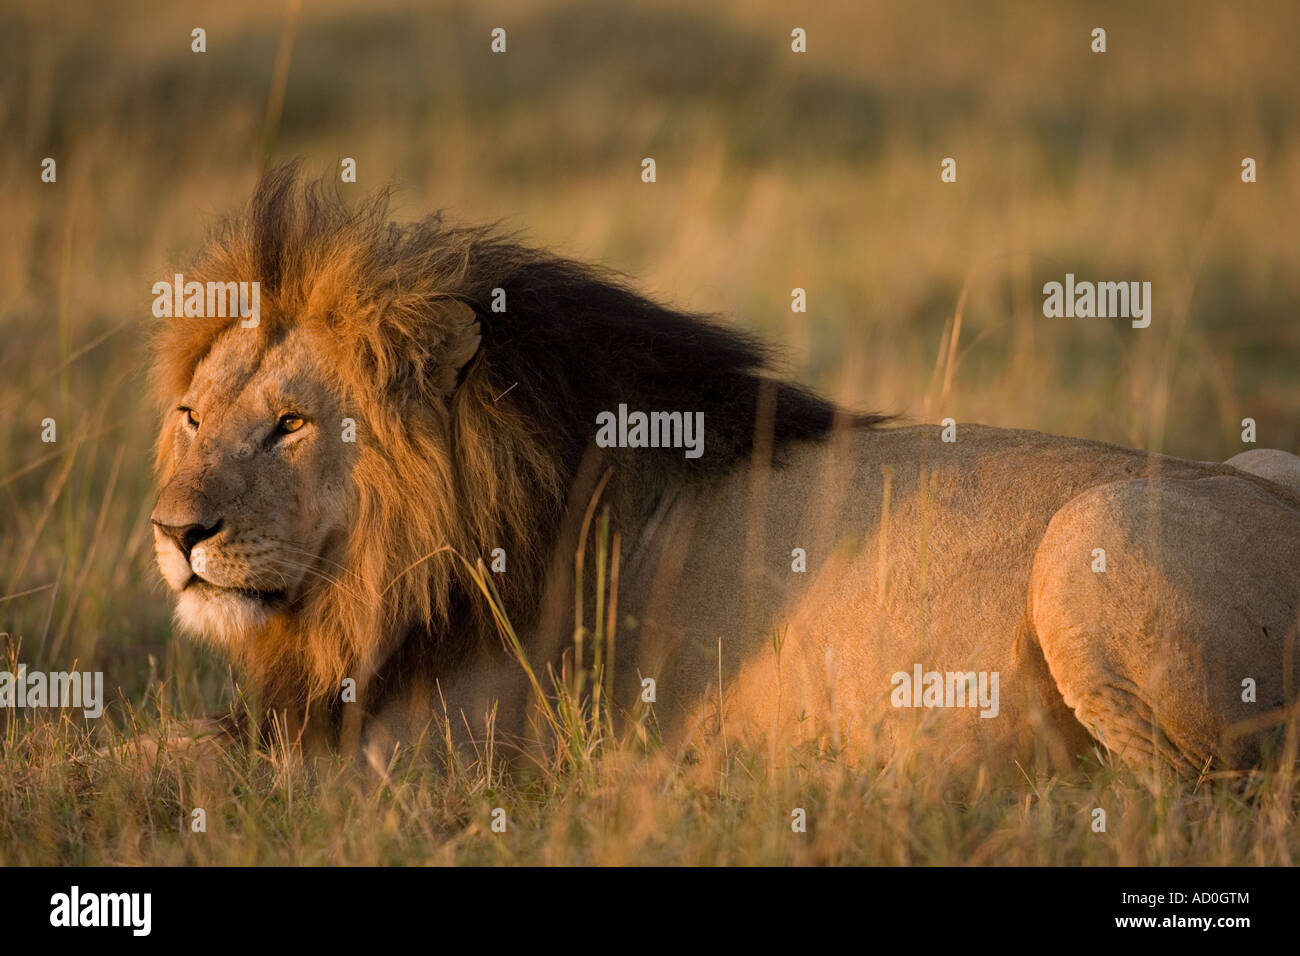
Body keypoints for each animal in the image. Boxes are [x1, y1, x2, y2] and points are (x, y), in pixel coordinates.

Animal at [150, 166, 1300, 777]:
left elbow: (167, 756)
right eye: (193, 416)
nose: (174, 534)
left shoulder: (423, 762)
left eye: (291, 424)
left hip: (1087, 540)